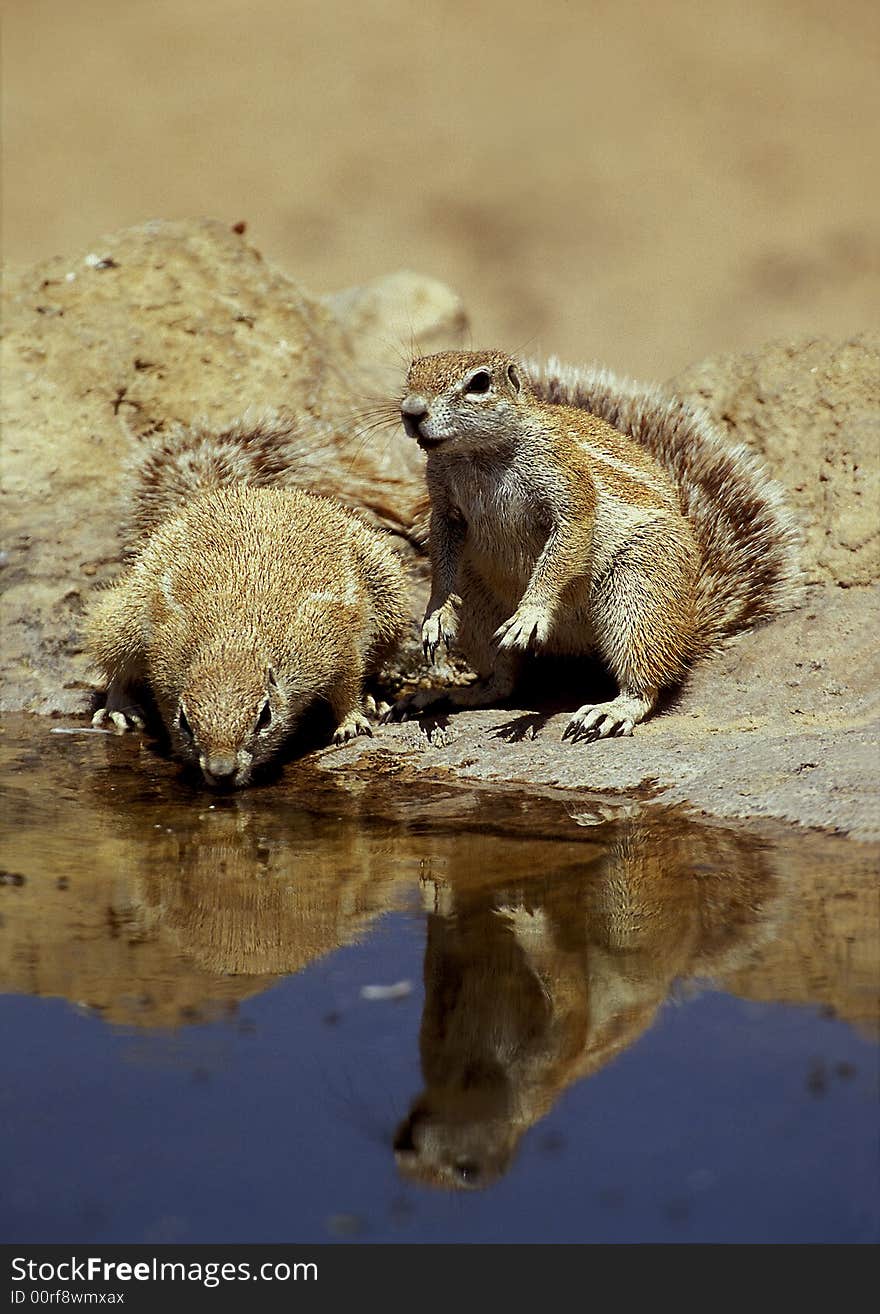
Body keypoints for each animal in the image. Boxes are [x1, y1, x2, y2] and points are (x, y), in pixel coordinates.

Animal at [86, 423, 409, 788]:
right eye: (185, 721)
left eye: (264, 716)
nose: (221, 772)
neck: (236, 636)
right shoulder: (165, 660)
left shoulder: (332, 642)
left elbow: (348, 685)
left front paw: (351, 721)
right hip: (126, 615)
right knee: (114, 661)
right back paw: (120, 708)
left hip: (390, 605)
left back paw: (373, 698)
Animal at [396, 349, 803, 741]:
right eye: (411, 373)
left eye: (479, 383)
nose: (412, 411)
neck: (478, 455)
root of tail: (686, 624)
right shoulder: (443, 507)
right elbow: (442, 549)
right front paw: (436, 615)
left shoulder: (566, 482)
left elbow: (566, 544)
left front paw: (531, 613)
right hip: (476, 601)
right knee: (503, 683)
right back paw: (449, 694)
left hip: (639, 591)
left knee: (646, 679)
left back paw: (612, 710)